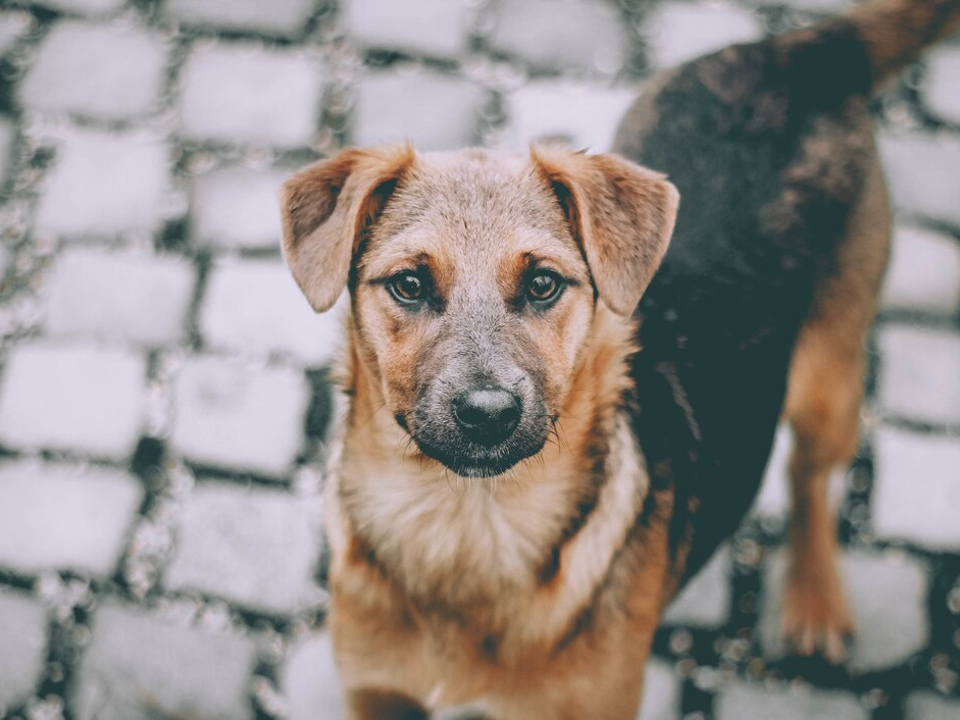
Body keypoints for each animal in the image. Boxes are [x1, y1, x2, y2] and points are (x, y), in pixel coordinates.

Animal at [278, 1, 960, 720]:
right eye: (409, 283)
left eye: (543, 284)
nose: (488, 414)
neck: (467, 530)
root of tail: (795, 53)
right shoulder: (375, 694)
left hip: (830, 378)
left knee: (808, 476)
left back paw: (814, 597)